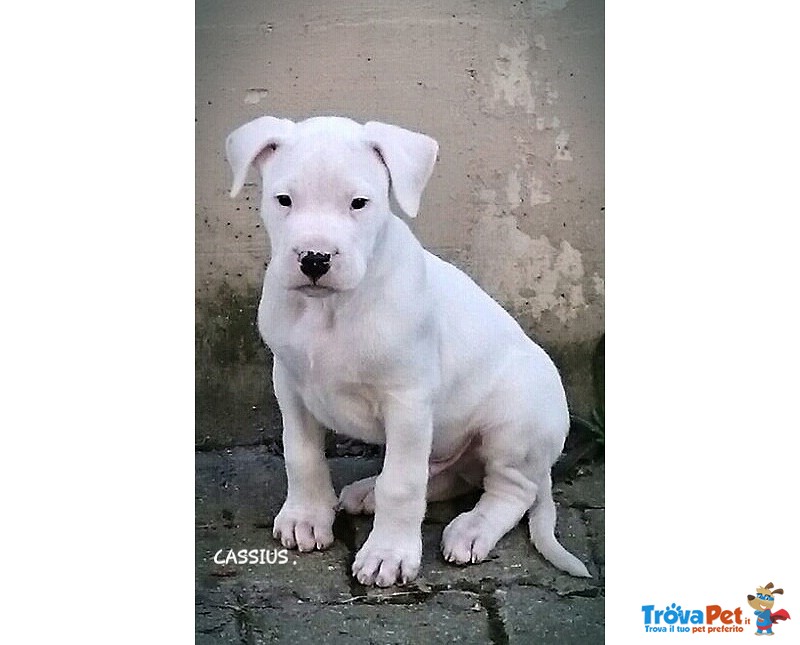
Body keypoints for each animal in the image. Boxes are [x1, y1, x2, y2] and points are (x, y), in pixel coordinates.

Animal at [225, 114, 588, 584]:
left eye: (359, 203)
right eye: (283, 200)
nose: (314, 258)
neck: (331, 309)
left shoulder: (408, 402)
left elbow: (401, 483)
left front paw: (389, 554)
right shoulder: (289, 384)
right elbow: (301, 455)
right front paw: (306, 516)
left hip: (514, 427)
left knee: (510, 492)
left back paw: (472, 529)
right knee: (449, 477)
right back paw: (368, 493)